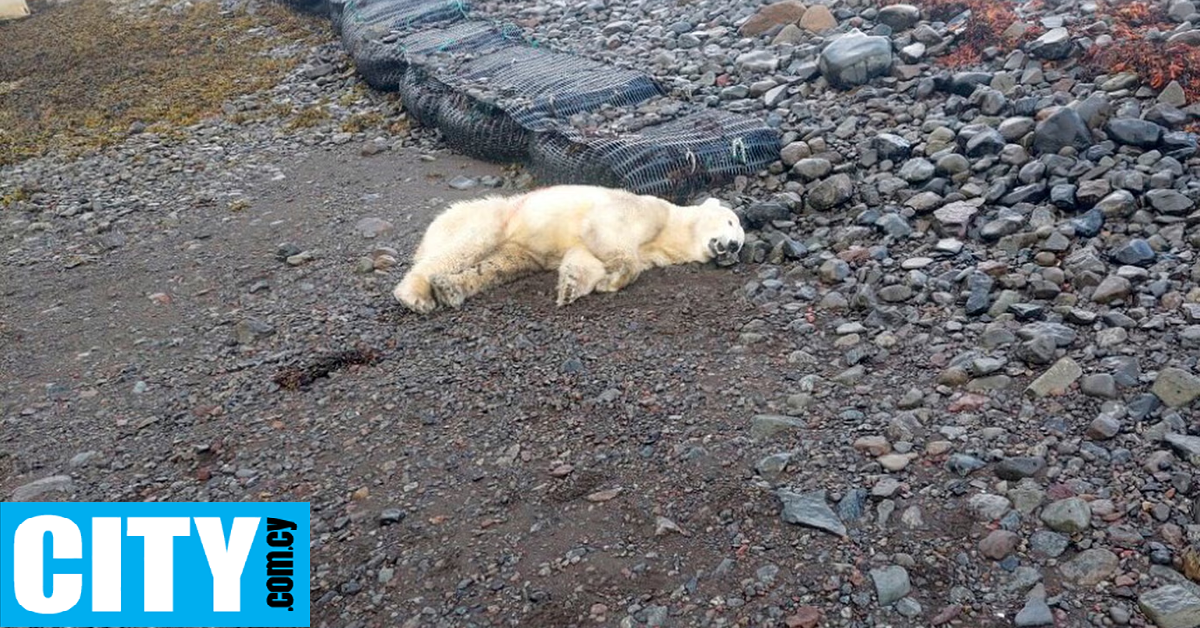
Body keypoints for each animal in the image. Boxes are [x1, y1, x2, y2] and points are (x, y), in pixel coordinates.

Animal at [393, 187, 744, 314]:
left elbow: (584, 257)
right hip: (493, 218)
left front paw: (572, 287)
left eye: (741, 242)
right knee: (465, 246)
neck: (670, 230)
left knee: (498, 266)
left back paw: (450, 289)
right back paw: (415, 295)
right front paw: (615, 278)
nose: (733, 246)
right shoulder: (643, 210)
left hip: (517, 249)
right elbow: (606, 231)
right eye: (730, 221)